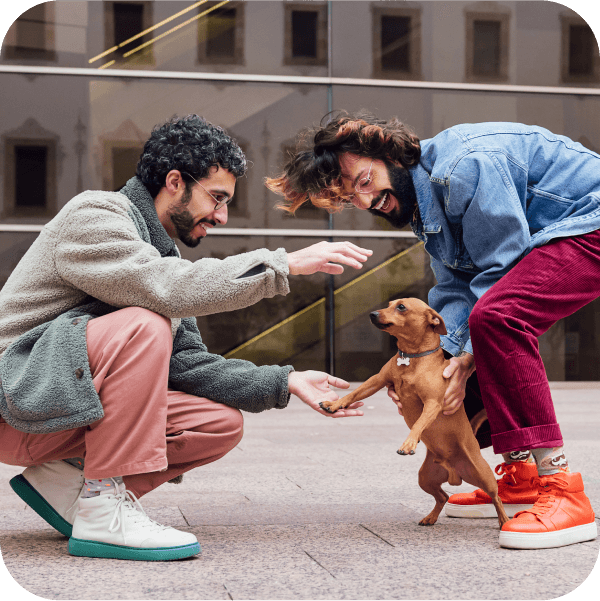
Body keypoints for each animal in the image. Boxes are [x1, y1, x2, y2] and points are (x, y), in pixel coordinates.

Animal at [322, 298, 508, 528]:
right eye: (389, 304)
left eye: (401, 307)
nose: (372, 314)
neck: (412, 358)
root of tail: (454, 471)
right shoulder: (377, 381)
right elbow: (353, 393)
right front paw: (334, 404)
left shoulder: (432, 403)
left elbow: (419, 423)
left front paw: (408, 444)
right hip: (426, 478)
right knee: (443, 496)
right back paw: (431, 517)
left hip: (483, 475)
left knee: (496, 497)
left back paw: (505, 520)